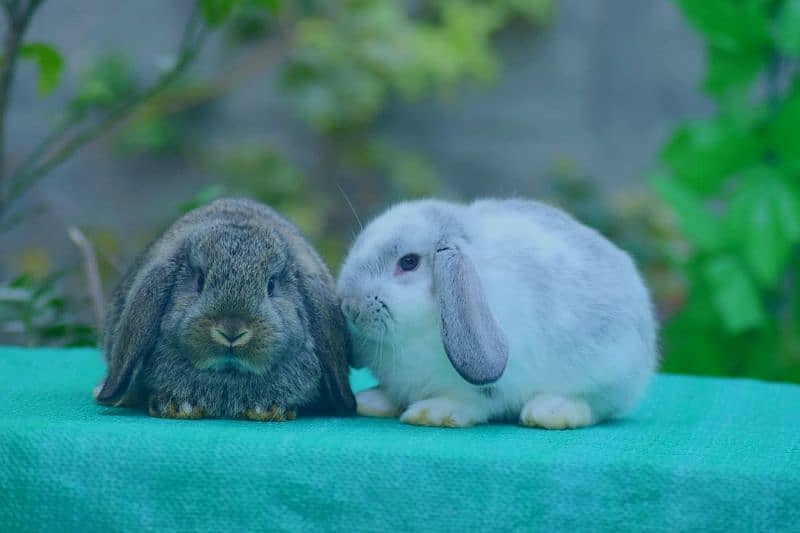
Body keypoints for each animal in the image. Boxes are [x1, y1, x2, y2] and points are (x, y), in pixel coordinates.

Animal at [337, 198, 657, 429]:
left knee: (594, 406)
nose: (350, 307)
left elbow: (473, 401)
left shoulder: (488, 385)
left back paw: (549, 412)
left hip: (607, 370)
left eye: (408, 262)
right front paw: (373, 401)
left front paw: (433, 412)